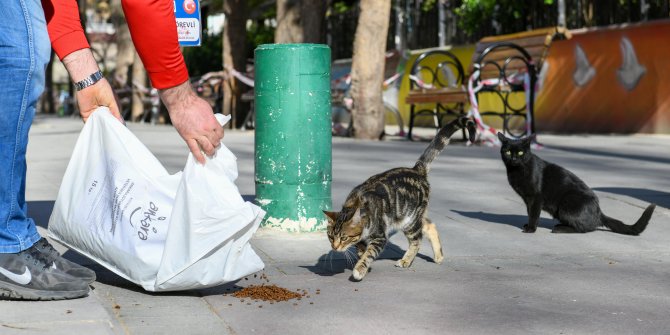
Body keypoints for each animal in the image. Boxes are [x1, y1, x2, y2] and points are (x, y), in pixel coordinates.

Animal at [326, 117, 478, 280]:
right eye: (330, 236)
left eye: (344, 238)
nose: (334, 247)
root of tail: (417, 170)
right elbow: (361, 249)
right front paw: (361, 257)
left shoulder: (380, 237)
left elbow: (369, 254)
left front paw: (360, 269)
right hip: (411, 217)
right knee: (430, 225)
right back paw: (438, 256)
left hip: (410, 221)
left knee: (417, 240)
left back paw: (406, 260)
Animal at [498, 133, 656, 235]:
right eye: (507, 152)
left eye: (520, 153)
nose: (513, 159)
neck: (516, 171)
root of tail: (599, 212)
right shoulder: (527, 199)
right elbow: (530, 212)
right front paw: (529, 225)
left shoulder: (536, 197)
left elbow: (533, 213)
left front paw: (531, 228)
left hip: (566, 204)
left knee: (585, 229)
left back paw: (559, 229)